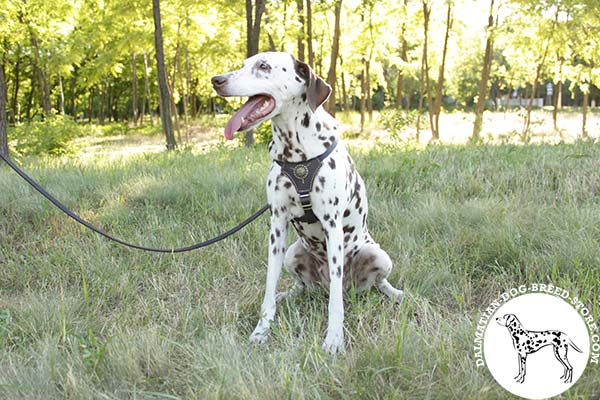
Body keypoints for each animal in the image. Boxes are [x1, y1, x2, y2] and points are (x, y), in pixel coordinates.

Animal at [211, 52, 404, 354]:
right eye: (243, 64)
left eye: (263, 66)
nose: (216, 80)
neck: (296, 153)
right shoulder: (277, 226)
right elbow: (268, 286)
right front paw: (262, 330)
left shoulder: (332, 226)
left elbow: (336, 303)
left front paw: (334, 339)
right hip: (293, 253)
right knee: (303, 286)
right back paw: (288, 294)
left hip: (378, 255)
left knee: (373, 284)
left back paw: (394, 293)